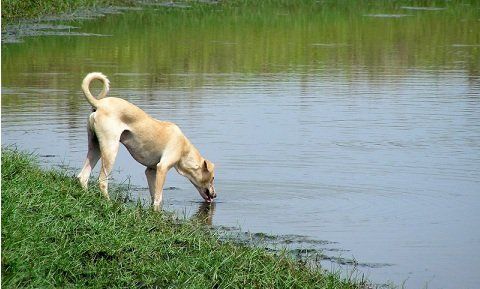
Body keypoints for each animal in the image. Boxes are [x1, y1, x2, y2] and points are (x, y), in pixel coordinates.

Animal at [77, 72, 218, 209]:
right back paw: (110, 204)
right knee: (102, 181)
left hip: (95, 146)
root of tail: (99, 104)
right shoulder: (162, 168)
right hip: (110, 149)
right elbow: (158, 198)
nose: (215, 195)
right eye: (212, 178)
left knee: (83, 176)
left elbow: (154, 195)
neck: (184, 148)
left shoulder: (151, 171)